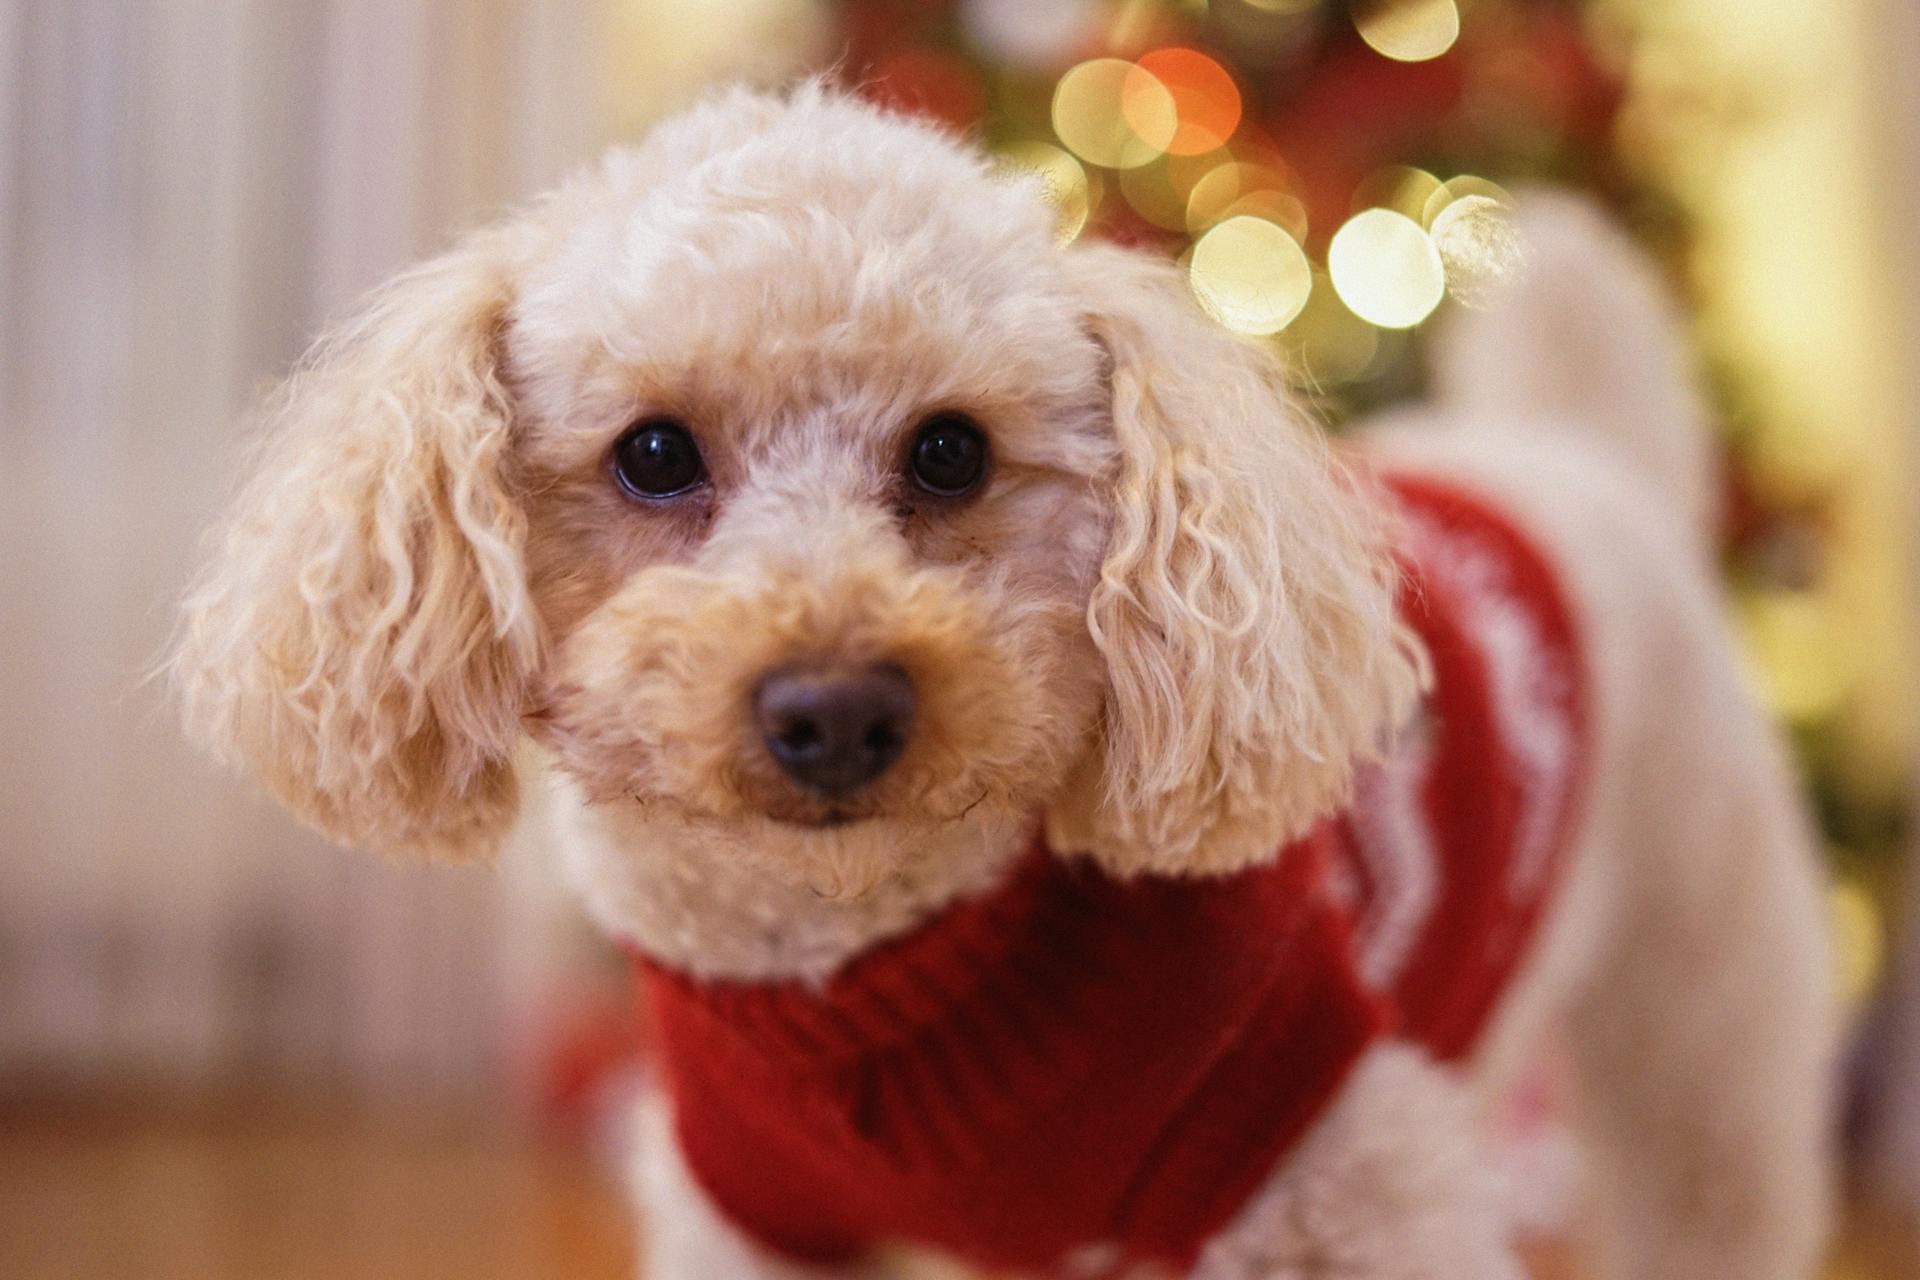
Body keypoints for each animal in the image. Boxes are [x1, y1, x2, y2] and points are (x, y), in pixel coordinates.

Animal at [172, 87, 1835, 1280]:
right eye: (652, 454)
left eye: (951, 452)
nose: (836, 708)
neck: (876, 971)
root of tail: (1579, 455)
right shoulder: (762, 1220)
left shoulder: (1342, 1175)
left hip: (1705, 1034)